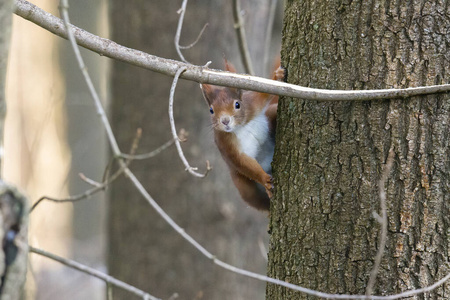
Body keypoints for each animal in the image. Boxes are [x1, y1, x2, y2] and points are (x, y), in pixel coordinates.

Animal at [201, 61, 284, 211]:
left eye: (237, 104)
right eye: (211, 110)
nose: (225, 121)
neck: (241, 127)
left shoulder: (252, 103)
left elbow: (263, 94)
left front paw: (277, 76)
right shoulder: (225, 143)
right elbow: (242, 161)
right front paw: (264, 180)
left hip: (271, 113)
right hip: (245, 188)